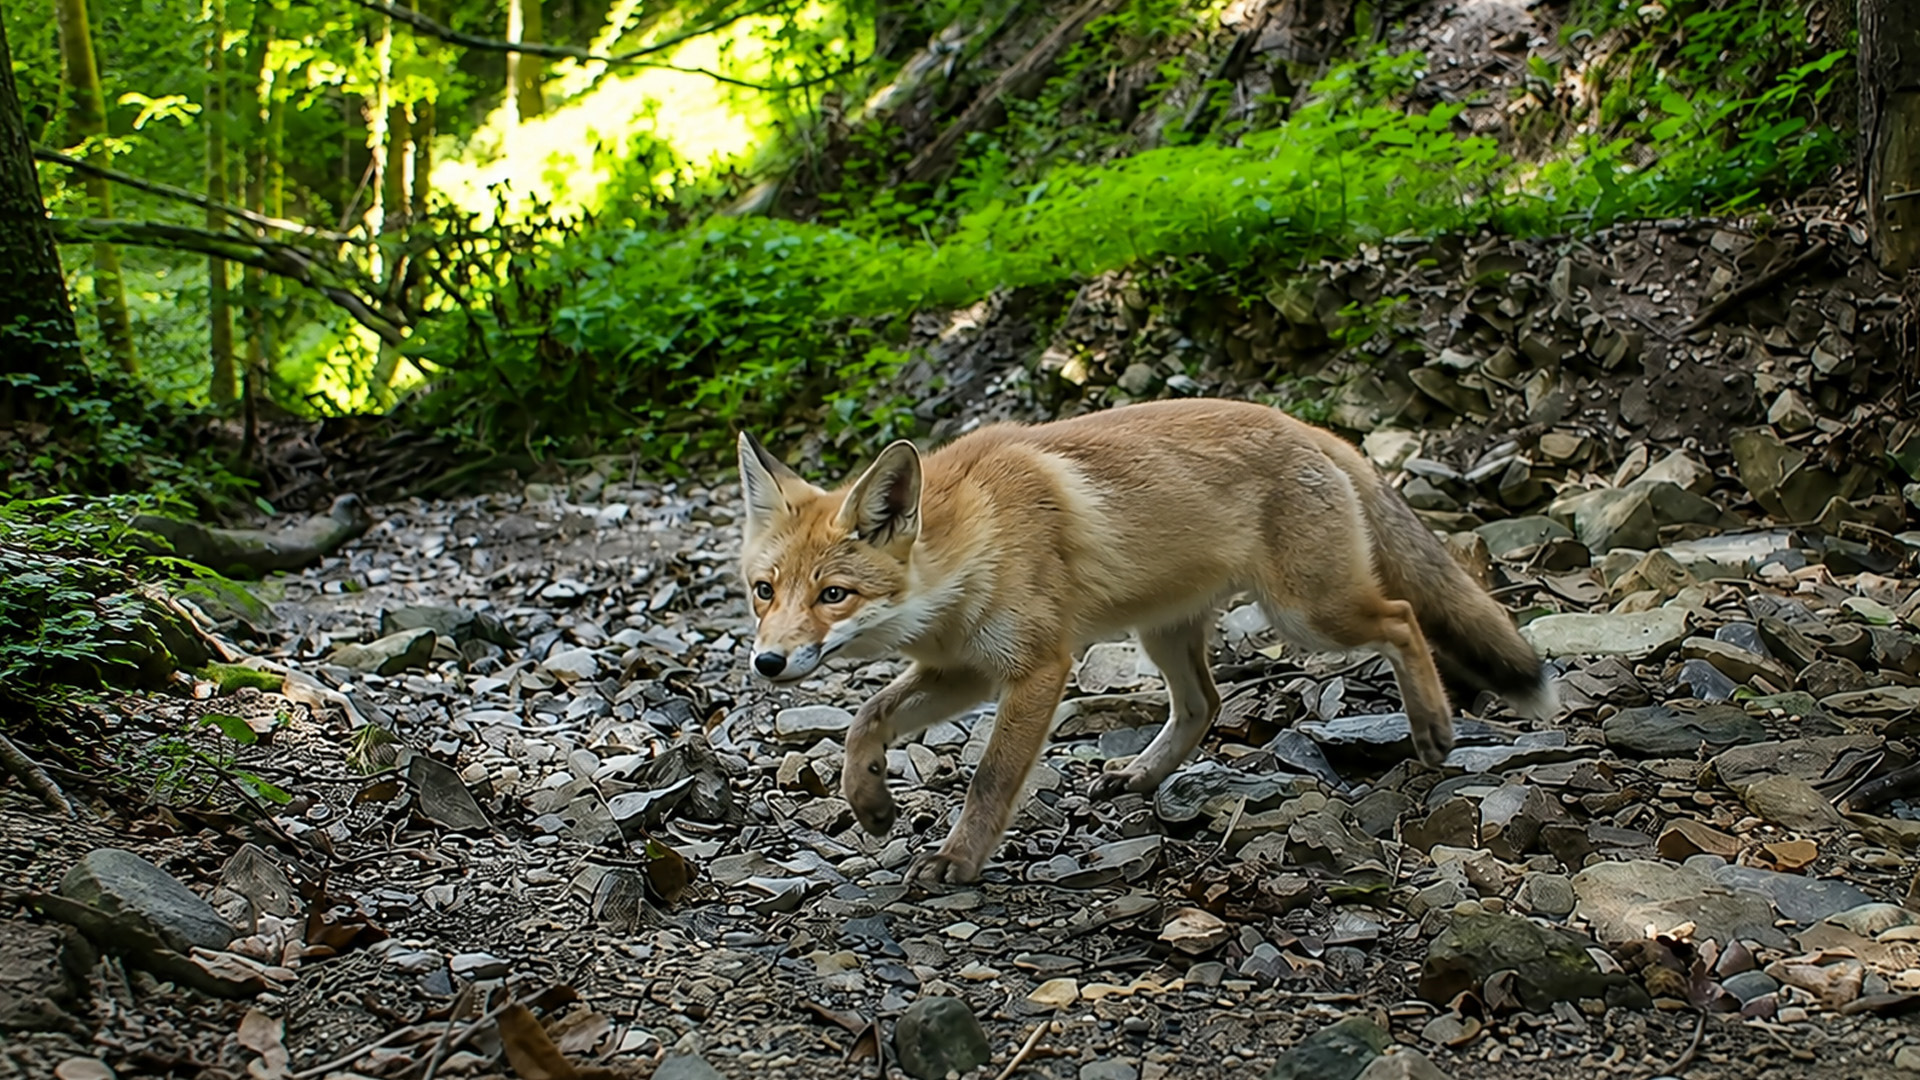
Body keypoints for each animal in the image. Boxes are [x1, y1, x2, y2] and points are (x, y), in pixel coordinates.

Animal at [736, 398, 1556, 887]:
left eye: (834, 595)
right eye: (765, 591)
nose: (767, 663)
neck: (973, 546)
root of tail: (1304, 424)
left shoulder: (1039, 666)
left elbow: (990, 780)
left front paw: (959, 858)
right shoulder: (964, 669)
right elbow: (863, 720)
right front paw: (869, 800)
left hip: (1310, 613)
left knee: (1403, 618)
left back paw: (1433, 726)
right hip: (1164, 633)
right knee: (1205, 704)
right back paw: (1141, 775)